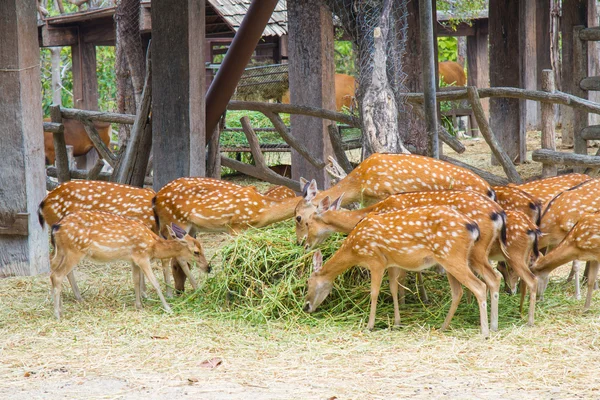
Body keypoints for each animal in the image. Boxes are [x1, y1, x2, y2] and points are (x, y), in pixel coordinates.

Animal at [48, 211, 209, 320]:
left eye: (202, 248)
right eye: (196, 252)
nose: (209, 267)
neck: (153, 246)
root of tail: (56, 226)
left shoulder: (134, 259)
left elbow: (136, 282)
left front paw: (139, 306)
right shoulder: (142, 256)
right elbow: (155, 283)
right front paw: (168, 308)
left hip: (62, 251)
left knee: (54, 270)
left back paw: (61, 309)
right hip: (74, 250)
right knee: (57, 275)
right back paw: (57, 314)